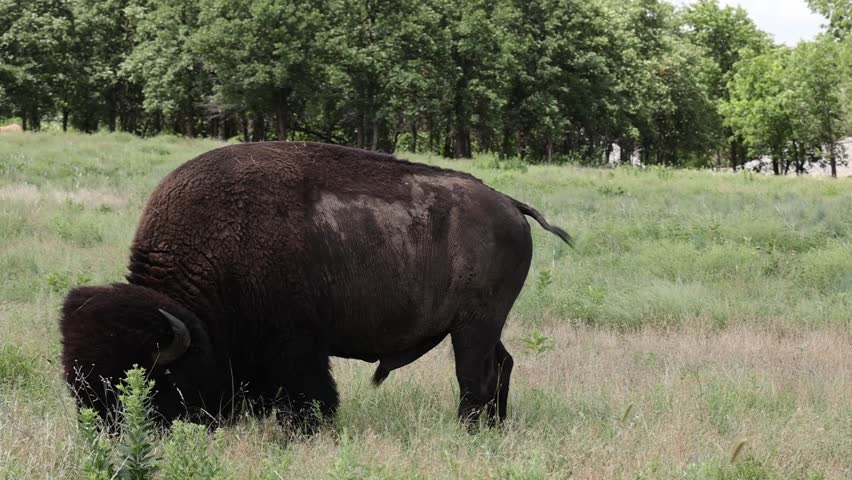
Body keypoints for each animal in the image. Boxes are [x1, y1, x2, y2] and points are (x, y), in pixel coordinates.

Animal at [60, 141, 571, 428]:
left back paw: (469, 430)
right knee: (501, 366)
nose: (108, 431)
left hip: (474, 326)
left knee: (475, 377)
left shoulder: (297, 346)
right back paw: (493, 429)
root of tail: (510, 204)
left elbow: (312, 394)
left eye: (145, 379)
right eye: (79, 384)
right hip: (484, 325)